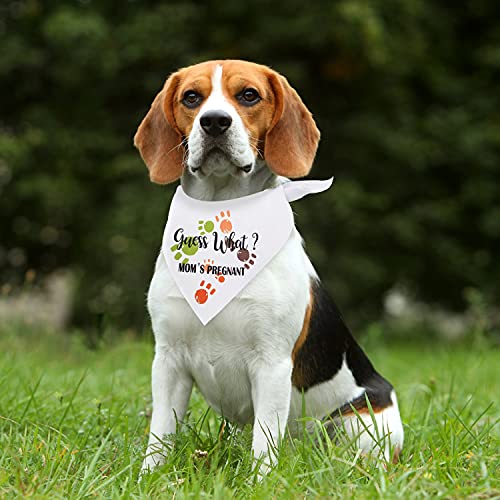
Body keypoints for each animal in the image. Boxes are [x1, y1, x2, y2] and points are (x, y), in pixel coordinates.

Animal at [133, 60, 402, 474]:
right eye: (191, 97)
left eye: (249, 95)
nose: (214, 122)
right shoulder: (168, 360)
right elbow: (161, 433)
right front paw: (150, 476)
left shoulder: (272, 364)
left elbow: (265, 439)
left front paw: (260, 480)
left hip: (364, 422)